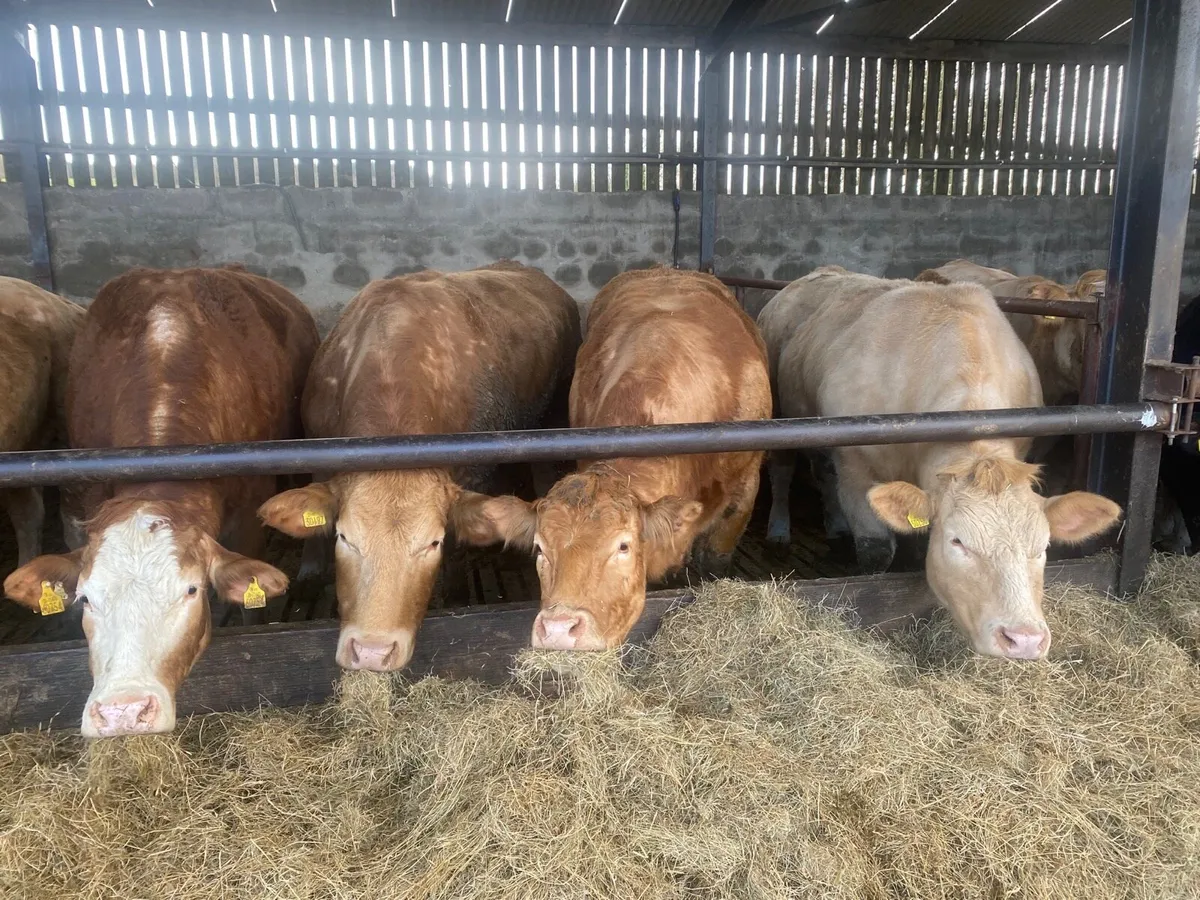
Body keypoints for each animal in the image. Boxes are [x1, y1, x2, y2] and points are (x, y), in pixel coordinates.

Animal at [257, 261, 581, 672]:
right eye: (344, 537)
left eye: (433, 541)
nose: (372, 651)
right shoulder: (317, 452)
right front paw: (309, 578)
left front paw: (456, 593)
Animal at [759, 267, 1121, 660]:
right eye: (958, 541)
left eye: (1042, 548)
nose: (1023, 639)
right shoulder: (857, 466)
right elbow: (876, 551)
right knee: (785, 472)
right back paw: (779, 529)